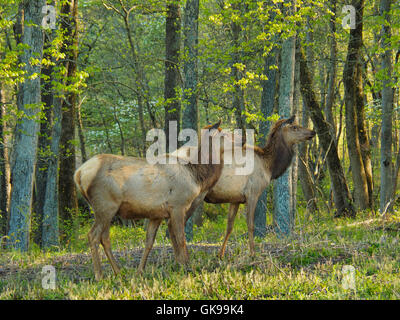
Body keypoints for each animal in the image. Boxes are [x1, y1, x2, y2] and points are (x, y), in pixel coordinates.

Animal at [73, 120, 233, 280]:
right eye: (224, 134)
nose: (238, 141)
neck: (196, 178)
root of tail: (78, 173)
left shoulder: (156, 214)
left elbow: (150, 242)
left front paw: (140, 271)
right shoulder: (178, 205)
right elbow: (181, 239)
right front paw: (187, 267)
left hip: (105, 209)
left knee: (105, 238)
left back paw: (118, 272)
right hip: (105, 205)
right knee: (93, 235)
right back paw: (99, 275)